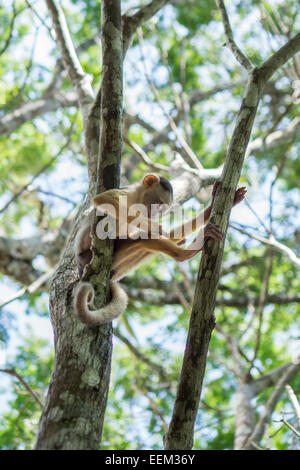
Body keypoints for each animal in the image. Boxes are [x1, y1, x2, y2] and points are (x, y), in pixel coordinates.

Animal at [74, 174, 246, 324]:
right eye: (157, 203)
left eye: (162, 209)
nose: (156, 214)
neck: (137, 200)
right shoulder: (126, 194)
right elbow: (104, 199)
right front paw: (157, 227)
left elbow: (169, 235)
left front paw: (209, 210)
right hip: (88, 254)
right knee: (134, 231)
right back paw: (183, 254)